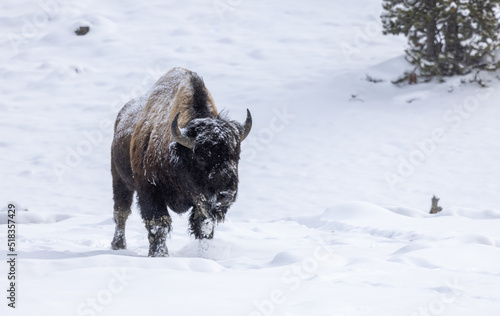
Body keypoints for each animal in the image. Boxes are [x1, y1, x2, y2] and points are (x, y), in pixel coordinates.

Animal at [109, 67, 250, 256]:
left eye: (236, 155)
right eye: (201, 156)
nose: (226, 195)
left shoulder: (202, 202)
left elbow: (203, 226)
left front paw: (204, 255)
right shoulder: (150, 191)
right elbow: (158, 224)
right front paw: (159, 255)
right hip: (120, 180)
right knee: (121, 212)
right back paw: (118, 245)